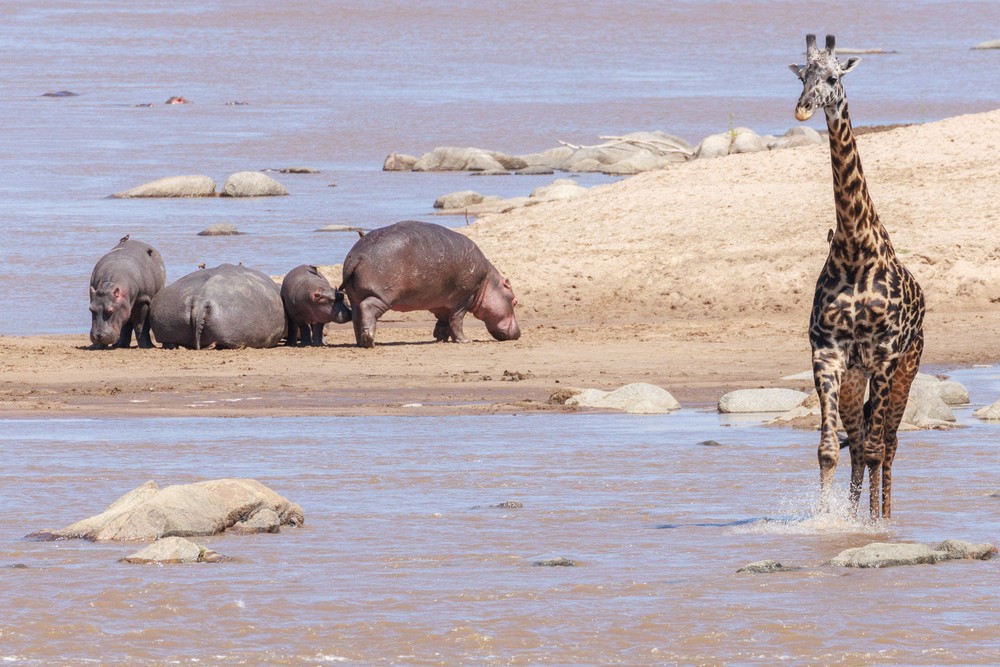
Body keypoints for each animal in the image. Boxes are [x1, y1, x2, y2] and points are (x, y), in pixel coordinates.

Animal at [340, 220, 521, 347]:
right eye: (515, 301)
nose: (519, 333)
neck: (487, 281)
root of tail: (358, 255)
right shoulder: (464, 298)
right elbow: (456, 320)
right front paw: (464, 340)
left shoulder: (442, 303)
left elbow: (444, 321)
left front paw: (441, 338)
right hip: (383, 295)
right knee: (368, 308)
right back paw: (369, 341)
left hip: (354, 296)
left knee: (356, 316)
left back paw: (361, 342)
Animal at [789, 34, 925, 519]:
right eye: (802, 76)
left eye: (833, 77)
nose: (803, 109)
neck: (854, 250)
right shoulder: (828, 354)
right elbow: (830, 450)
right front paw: (832, 520)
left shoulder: (884, 356)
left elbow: (876, 447)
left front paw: (871, 526)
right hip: (854, 377)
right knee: (860, 443)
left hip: (907, 366)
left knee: (888, 443)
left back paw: (884, 516)